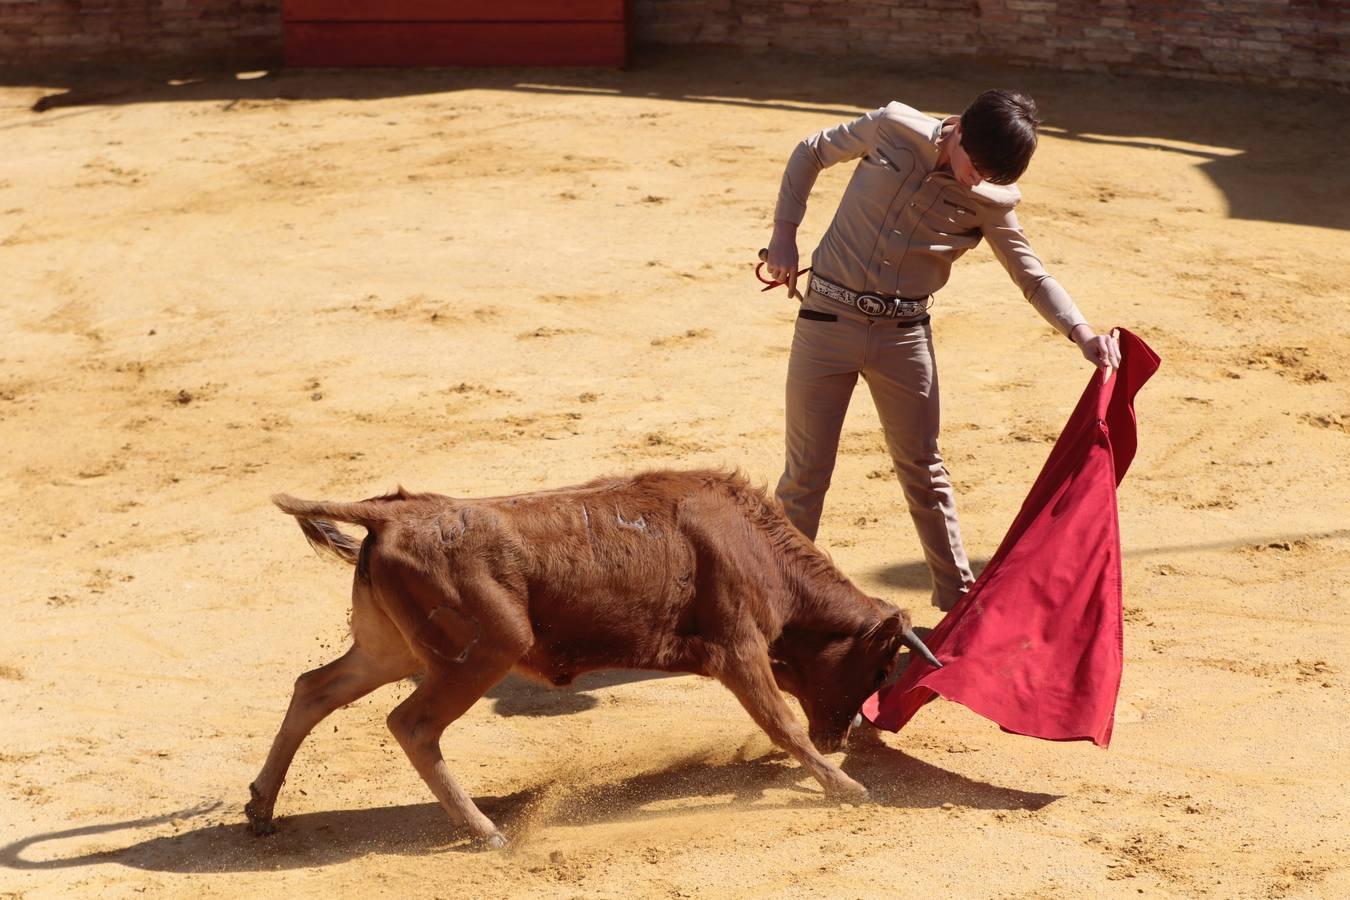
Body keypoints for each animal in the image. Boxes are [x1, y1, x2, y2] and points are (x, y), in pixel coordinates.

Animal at [245, 469, 939, 847]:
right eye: (880, 668)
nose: (842, 737)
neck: (756, 547)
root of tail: (390, 515)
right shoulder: (738, 649)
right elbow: (782, 723)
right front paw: (846, 786)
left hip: (387, 649)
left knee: (313, 689)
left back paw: (260, 809)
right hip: (482, 653)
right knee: (411, 724)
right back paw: (486, 832)